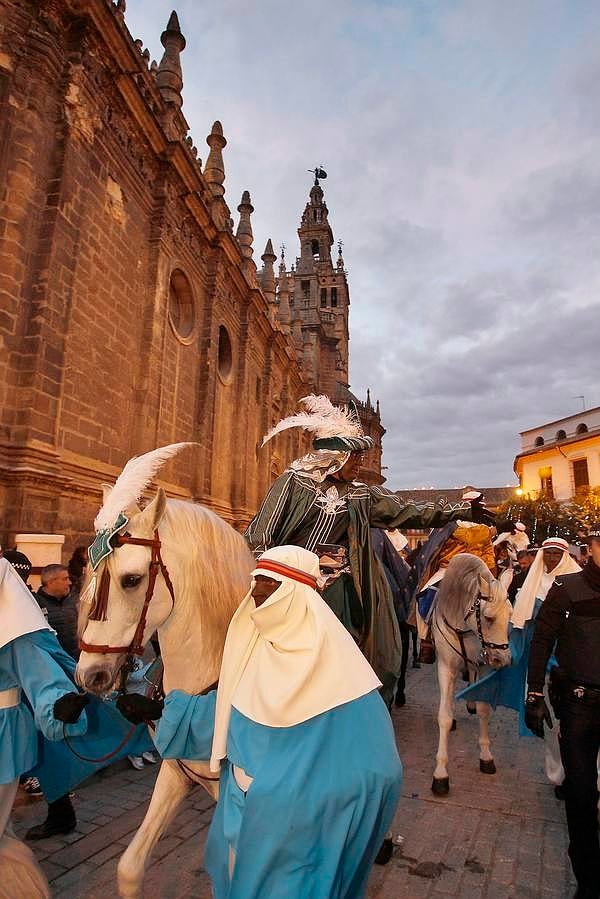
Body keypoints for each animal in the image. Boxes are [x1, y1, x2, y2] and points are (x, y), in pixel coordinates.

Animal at [432, 552, 510, 800]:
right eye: (488, 617)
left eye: (510, 615)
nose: (503, 659)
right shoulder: (446, 667)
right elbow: (444, 716)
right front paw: (440, 775)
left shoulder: (483, 664)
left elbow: (485, 710)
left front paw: (486, 757)